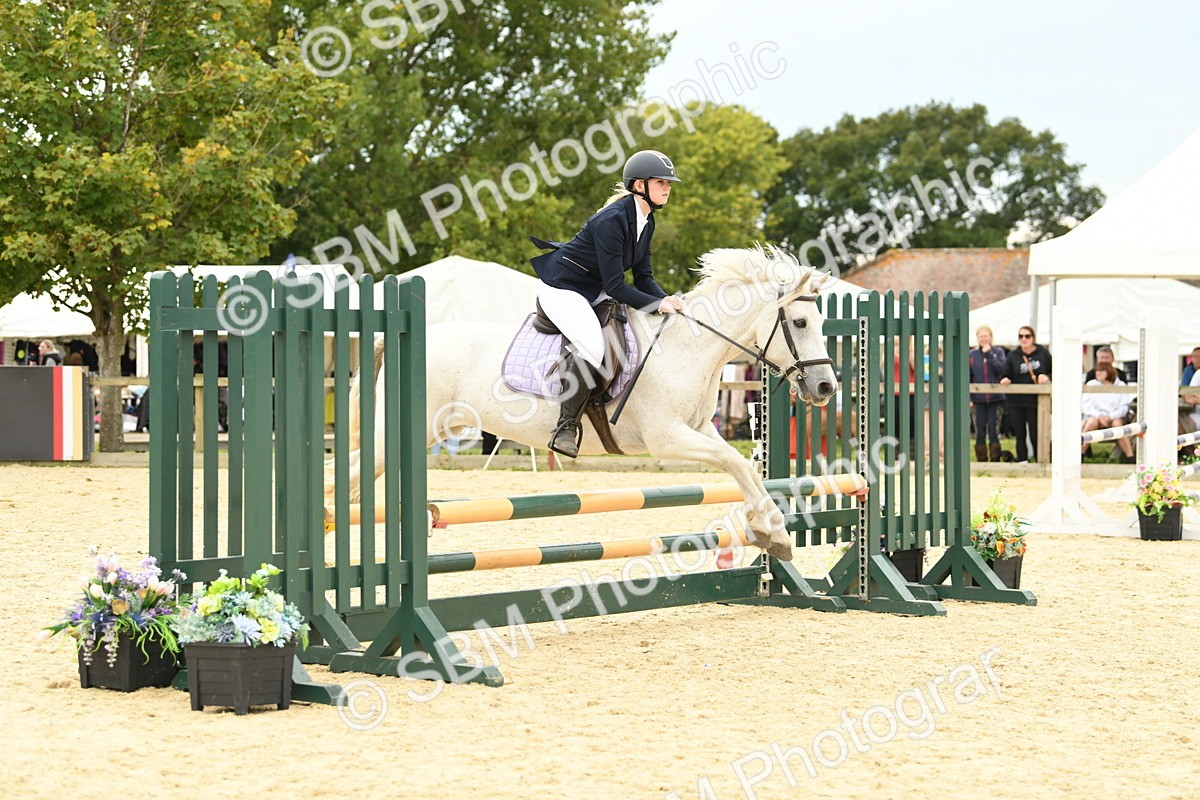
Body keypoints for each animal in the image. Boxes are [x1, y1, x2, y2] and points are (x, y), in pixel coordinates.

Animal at [335, 245, 838, 561]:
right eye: (799, 322)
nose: (825, 388)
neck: (689, 347)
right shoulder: (667, 437)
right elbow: (734, 462)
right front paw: (773, 529)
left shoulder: (699, 430)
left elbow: (743, 467)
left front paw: (770, 532)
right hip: (400, 433)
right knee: (349, 475)